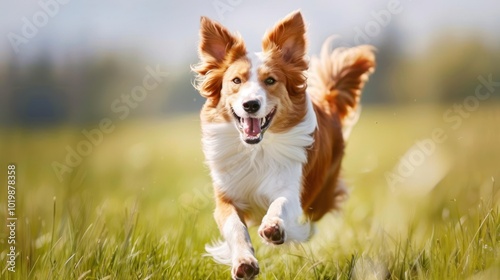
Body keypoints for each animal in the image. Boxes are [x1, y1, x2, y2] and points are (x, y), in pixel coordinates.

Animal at [191, 9, 376, 278]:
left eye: (270, 80)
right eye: (236, 81)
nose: (251, 104)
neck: (256, 150)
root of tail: (328, 101)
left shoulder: (291, 185)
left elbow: (282, 203)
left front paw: (273, 226)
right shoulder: (226, 197)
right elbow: (235, 227)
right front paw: (244, 261)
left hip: (320, 198)